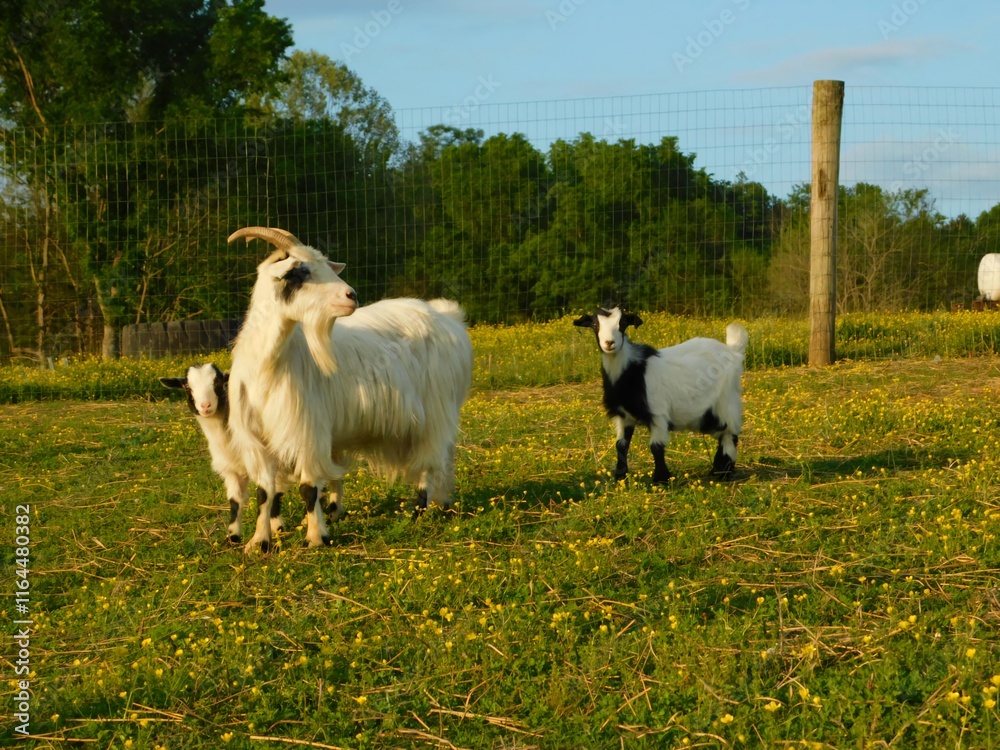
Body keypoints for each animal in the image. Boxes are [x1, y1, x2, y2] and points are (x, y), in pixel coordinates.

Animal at [159, 363, 287, 543]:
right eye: (187, 386)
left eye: (218, 382)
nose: (205, 406)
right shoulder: (230, 469)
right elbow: (235, 501)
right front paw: (233, 537)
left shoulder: (269, 460)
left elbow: (270, 493)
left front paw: (275, 528)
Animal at [226, 226, 473, 552]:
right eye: (299, 272)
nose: (351, 296)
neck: (267, 368)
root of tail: (449, 317)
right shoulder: (257, 440)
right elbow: (263, 492)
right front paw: (259, 542)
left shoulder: (307, 430)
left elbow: (308, 488)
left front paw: (315, 537)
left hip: (436, 411)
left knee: (431, 460)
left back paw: (420, 511)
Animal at [574, 305, 749, 483]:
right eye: (595, 324)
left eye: (622, 323)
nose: (609, 343)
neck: (632, 372)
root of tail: (733, 352)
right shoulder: (624, 415)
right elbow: (621, 445)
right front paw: (620, 476)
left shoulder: (657, 412)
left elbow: (656, 446)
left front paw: (660, 479)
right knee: (722, 434)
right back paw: (716, 471)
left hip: (727, 400)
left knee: (730, 435)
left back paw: (724, 474)